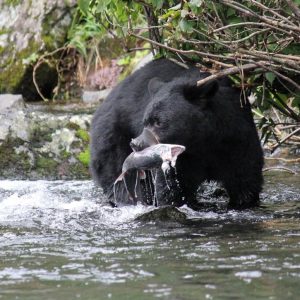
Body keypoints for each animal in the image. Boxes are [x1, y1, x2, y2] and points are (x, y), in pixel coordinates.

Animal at [90, 58, 264, 209]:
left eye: (159, 122)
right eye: (145, 122)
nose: (136, 144)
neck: (202, 142)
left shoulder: (236, 138)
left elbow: (245, 177)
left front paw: (243, 201)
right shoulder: (181, 161)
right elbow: (174, 189)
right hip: (112, 137)